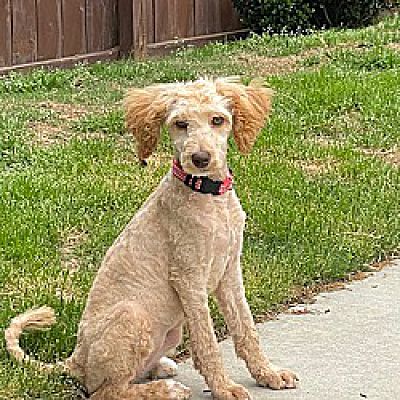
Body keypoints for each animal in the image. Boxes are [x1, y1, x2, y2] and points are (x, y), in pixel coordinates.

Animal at [5, 78, 296, 400]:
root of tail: (75, 360)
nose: (200, 159)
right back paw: (165, 389)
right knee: (107, 392)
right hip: (132, 315)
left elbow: (246, 328)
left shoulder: (229, 271)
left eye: (217, 120)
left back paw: (160, 368)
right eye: (180, 124)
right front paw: (224, 387)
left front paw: (268, 373)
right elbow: (206, 341)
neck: (208, 196)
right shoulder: (188, 277)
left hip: (169, 332)